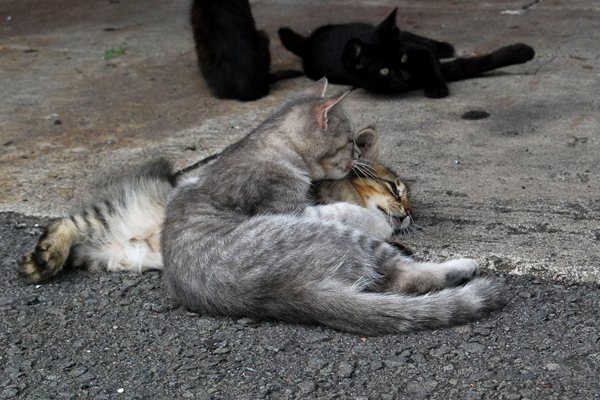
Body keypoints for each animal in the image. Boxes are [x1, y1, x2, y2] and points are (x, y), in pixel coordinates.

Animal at [19, 128, 414, 283]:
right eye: (396, 189)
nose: (409, 213)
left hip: (107, 253)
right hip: (106, 216)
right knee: (63, 223)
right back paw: (45, 256)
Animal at [160, 79, 503, 335]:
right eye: (395, 189)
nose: (408, 213)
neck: (271, 146)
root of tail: (282, 293)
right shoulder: (288, 206)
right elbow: (345, 210)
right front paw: (379, 222)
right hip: (333, 236)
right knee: (405, 277)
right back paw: (462, 266)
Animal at [278, 8, 535, 98]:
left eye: (402, 58)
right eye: (383, 71)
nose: (405, 77)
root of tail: (310, 40)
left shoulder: (418, 50)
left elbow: (440, 61)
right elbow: (468, 65)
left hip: (396, 31)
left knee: (422, 39)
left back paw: (445, 46)